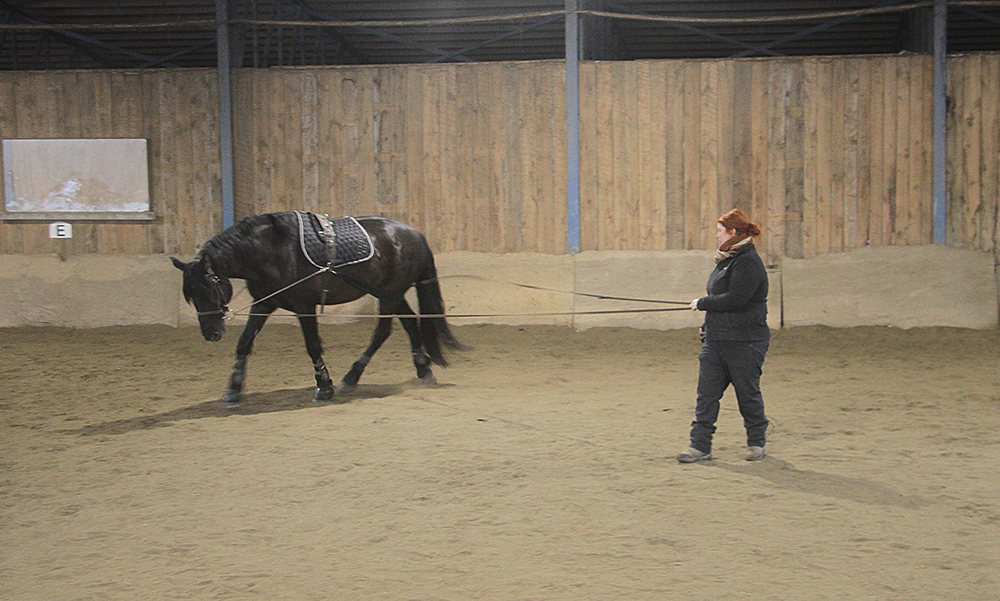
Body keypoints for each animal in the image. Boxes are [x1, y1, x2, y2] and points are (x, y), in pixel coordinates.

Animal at [173, 212, 464, 408]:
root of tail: (415, 234)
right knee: (410, 323)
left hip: (390, 293)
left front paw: (324, 387)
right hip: (390, 292)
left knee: (382, 331)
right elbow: (244, 343)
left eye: (209, 288)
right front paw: (233, 389)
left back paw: (352, 377)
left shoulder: (305, 306)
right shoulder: (264, 303)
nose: (211, 333)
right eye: (191, 294)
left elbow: (312, 344)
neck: (272, 250)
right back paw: (423, 370)